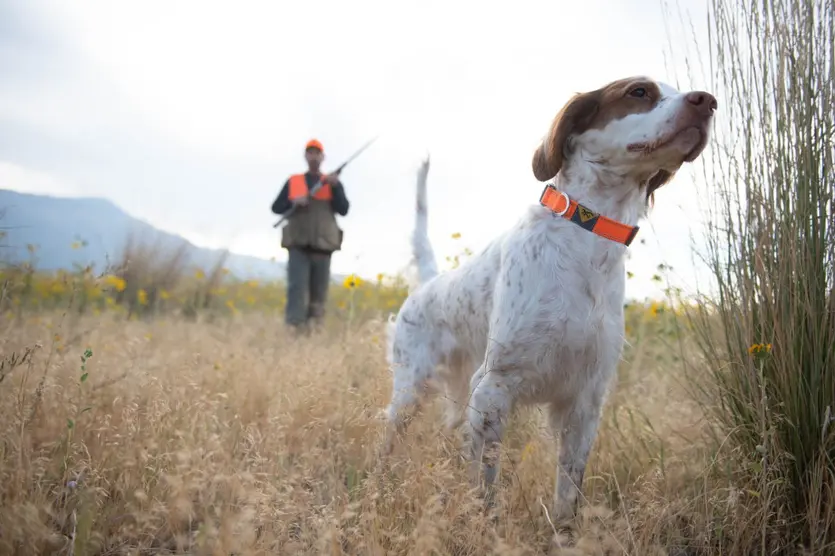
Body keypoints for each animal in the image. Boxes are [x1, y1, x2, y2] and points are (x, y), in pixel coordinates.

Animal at [382, 77, 716, 520]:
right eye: (639, 92)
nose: (708, 102)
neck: (587, 241)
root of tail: (430, 283)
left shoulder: (585, 400)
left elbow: (568, 496)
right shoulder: (494, 388)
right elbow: (486, 487)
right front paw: (484, 524)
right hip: (410, 390)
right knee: (388, 440)